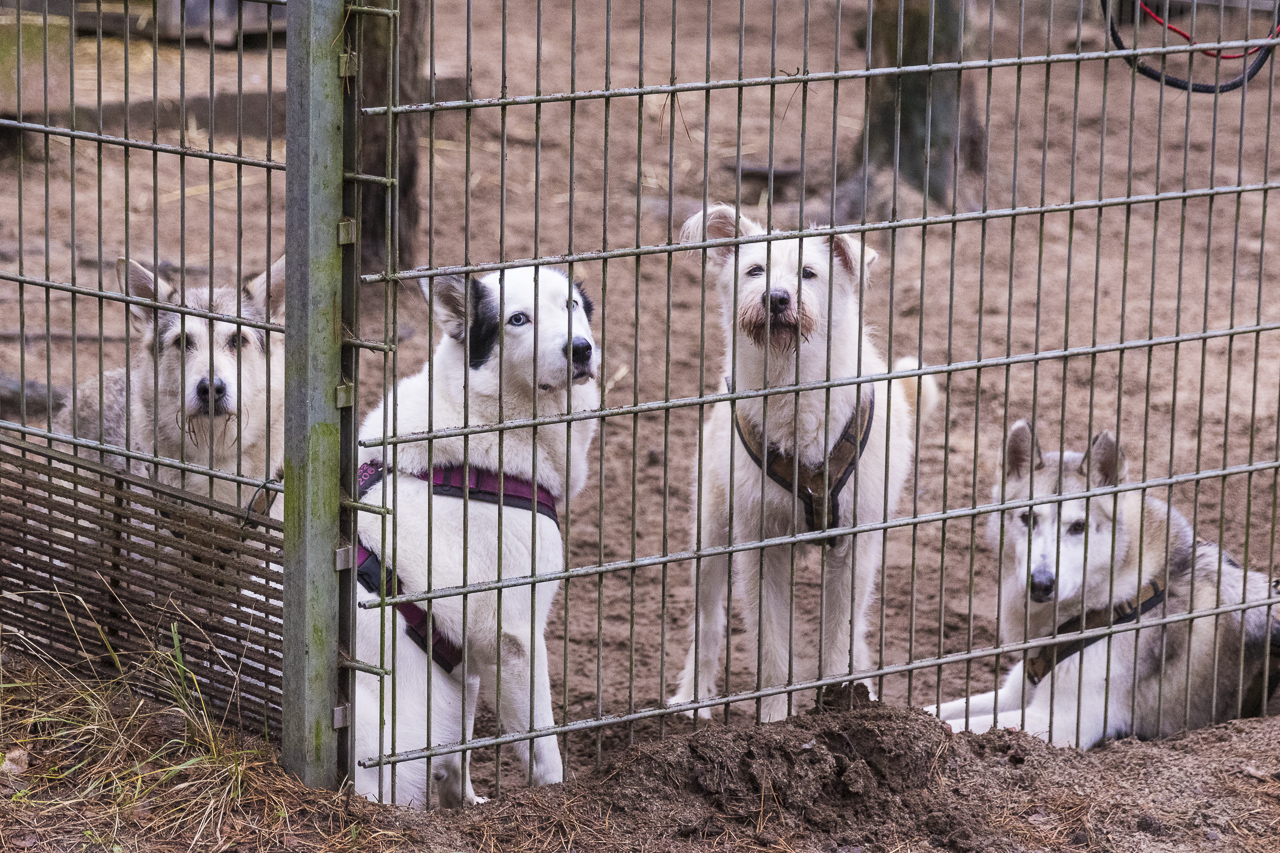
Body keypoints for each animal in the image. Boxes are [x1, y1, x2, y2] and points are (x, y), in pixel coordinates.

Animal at [352, 266, 599, 807]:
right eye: (518, 319)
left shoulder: (463, 660)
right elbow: (541, 745)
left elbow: (459, 756)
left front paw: (466, 805)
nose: (581, 349)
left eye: (571, 305)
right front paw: (554, 798)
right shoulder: (514, 636)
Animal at [668, 203, 939, 723]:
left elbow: (839, 638)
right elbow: (772, 648)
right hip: (710, 533)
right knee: (707, 621)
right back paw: (693, 695)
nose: (776, 298)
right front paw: (776, 720)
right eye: (755, 270)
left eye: (809, 274)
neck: (793, 389)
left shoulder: (855, 545)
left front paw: (844, 704)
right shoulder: (759, 546)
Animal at [927, 420, 1280, 748]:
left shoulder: (1062, 721)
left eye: (1078, 527)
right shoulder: (1015, 691)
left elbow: (961, 726)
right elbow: (936, 710)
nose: (1041, 583)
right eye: (1028, 519)